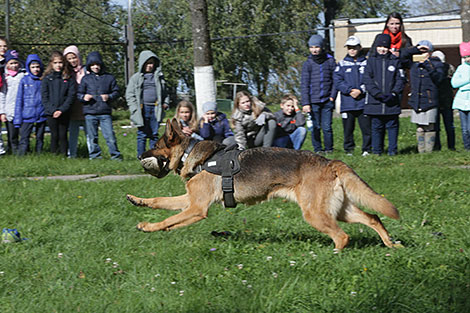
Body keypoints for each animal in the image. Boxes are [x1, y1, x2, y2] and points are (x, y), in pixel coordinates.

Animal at [126, 118, 400, 250]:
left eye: (155, 145)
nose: (139, 156)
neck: (191, 154)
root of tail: (328, 161)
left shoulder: (197, 208)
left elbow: (169, 218)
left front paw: (150, 227)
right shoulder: (190, 202)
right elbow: (162, 203)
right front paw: (138, 202)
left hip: (315, 214)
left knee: (342, 236)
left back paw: (333, 254)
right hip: (340, 210)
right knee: (373, 217)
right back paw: (391, 244)